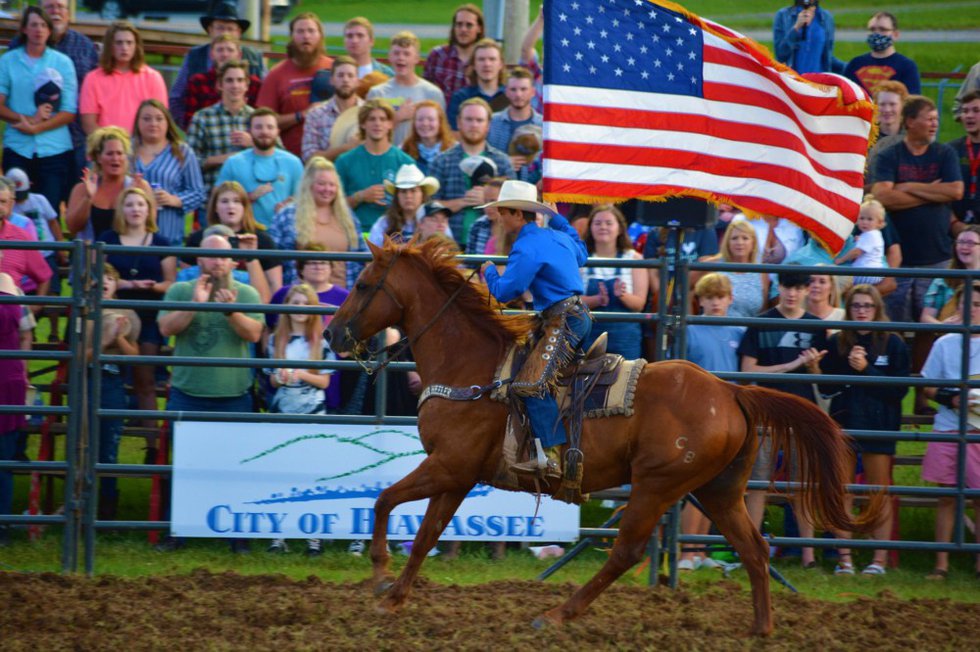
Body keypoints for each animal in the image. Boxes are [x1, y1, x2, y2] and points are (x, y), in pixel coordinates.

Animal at [328, 237, 880, 636]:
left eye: (364, 284)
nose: (333, 334)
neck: (471, 366)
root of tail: (729, 390)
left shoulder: (449, 466)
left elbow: (384, 501)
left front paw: (378, 579)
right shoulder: (458, 475)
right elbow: (425, 535)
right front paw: (395, 596)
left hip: (657, 485)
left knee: (627, 552)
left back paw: (556, 615)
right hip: (719, 489)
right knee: (754, 550)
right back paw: (761, 629)